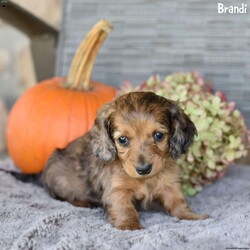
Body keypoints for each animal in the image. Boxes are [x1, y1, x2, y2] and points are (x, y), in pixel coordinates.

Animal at [43, 92, 209, 230]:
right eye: (122, 139)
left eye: (159, 135)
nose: (144, 169)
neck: (145, 180)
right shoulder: (117, 190)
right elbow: (124, 208)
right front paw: (130, 225)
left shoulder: (170, 184)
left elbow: (177, 202)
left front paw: (191, 216)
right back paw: (82, 202)